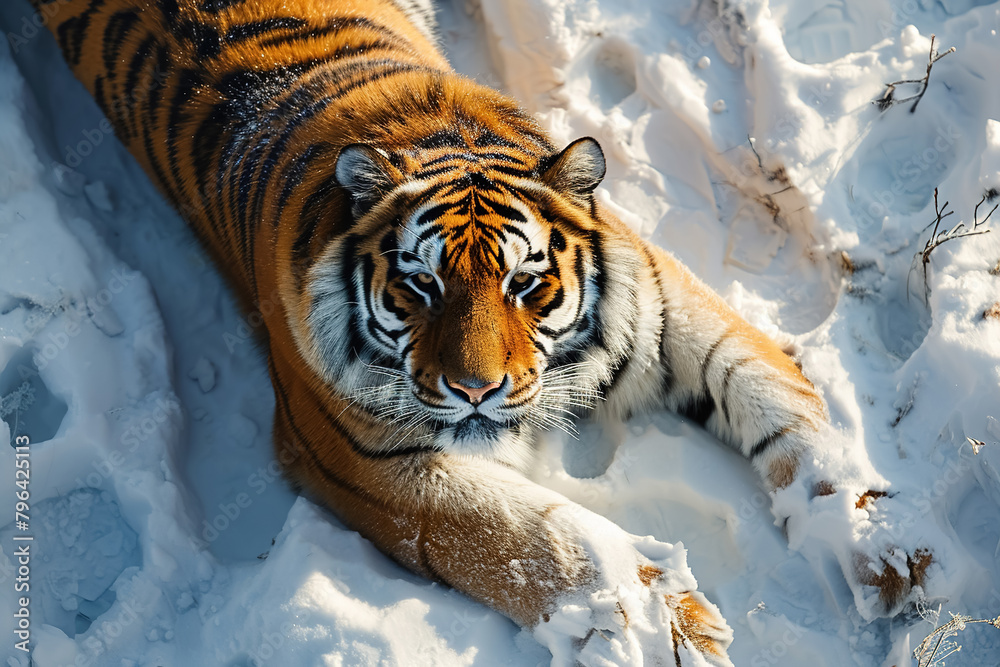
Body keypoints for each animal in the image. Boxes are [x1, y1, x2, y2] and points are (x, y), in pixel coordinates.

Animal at [26, 0, 940, 663]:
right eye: (419, 285)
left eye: (525, 282)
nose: (475, 389)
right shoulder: (362, 460)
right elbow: (536, 534)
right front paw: (661, 627)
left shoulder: (672, 311)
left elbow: (783, 408)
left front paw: (887, 551)